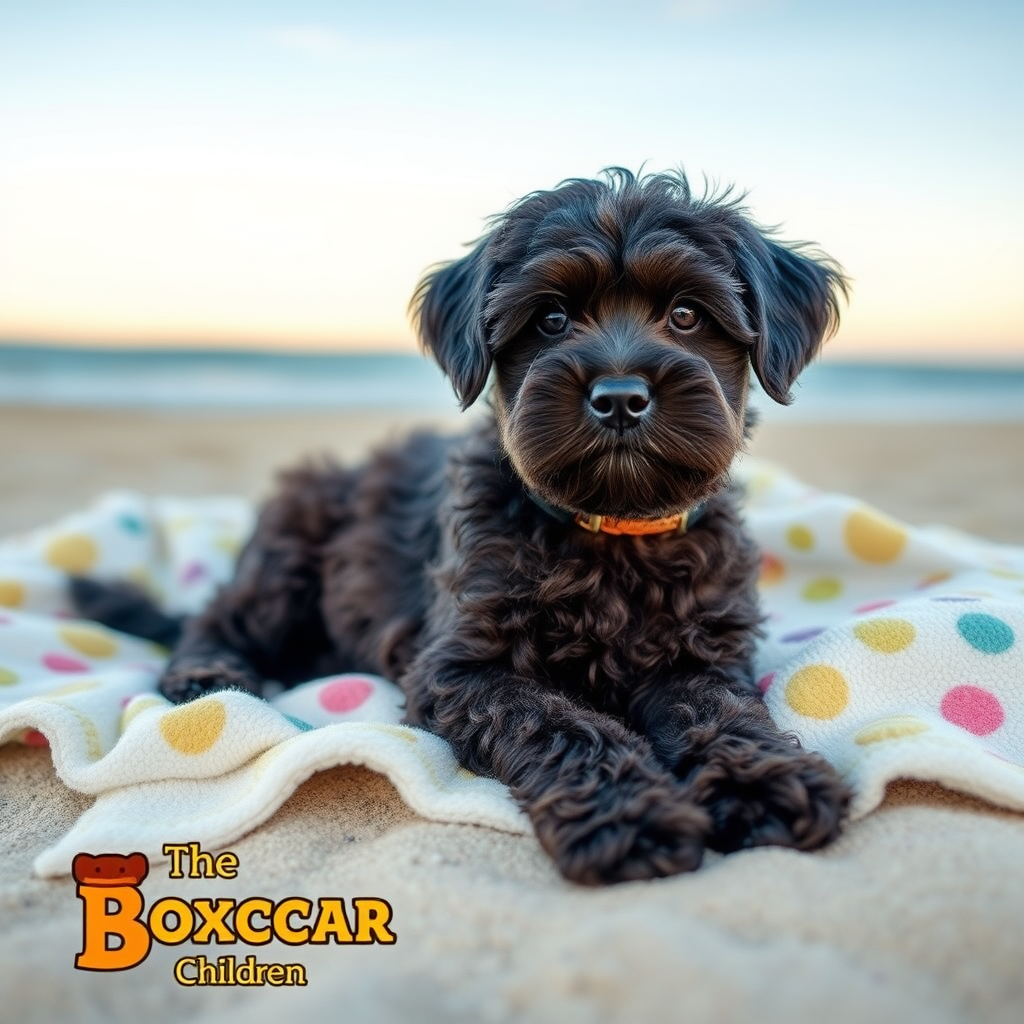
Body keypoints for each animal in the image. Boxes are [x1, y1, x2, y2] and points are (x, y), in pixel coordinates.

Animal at [72, 165, 851, 880]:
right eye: (551, 319)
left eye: (688, 315)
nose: (621, 398)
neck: (606, 534)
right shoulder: (463, 664)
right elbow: (563, 724)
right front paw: (630, 814)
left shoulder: (700, 653)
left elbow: (719, 713)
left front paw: (769, 783)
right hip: (294, 537)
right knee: (219, 617)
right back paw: (210, 677)